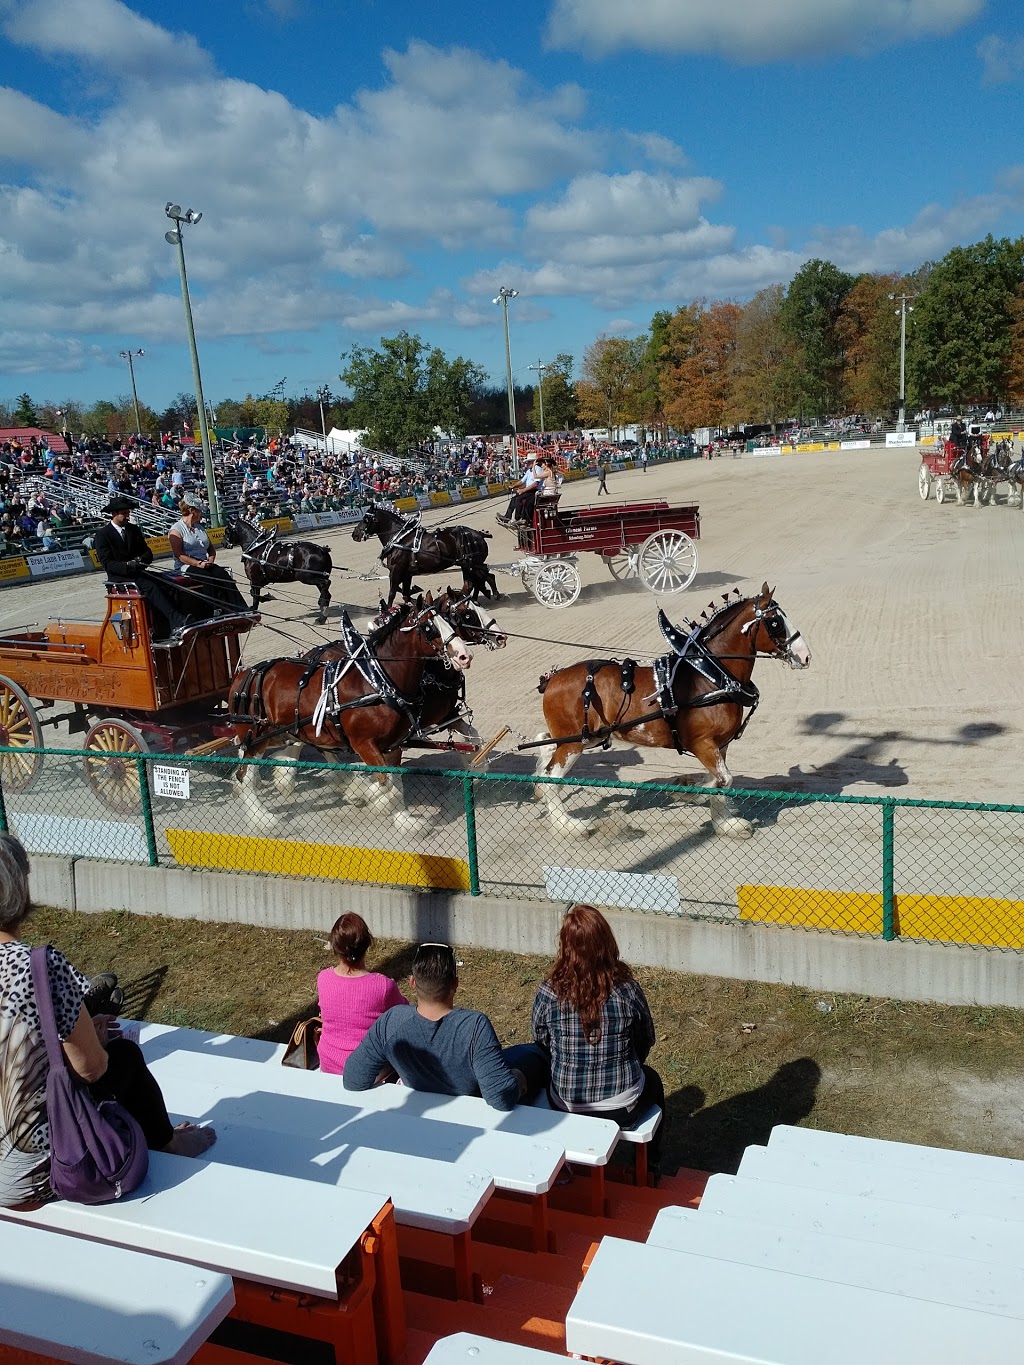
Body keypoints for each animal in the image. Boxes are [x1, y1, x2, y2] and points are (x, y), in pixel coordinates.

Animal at [352, 499, 499, 606]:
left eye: (365, 519)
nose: (355, 534)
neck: (399, 538)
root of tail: (479, 534)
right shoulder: (407, 574)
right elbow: (405, 593)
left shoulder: (396, 571)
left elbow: (392, 593)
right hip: (468, 564)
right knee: (477, 579)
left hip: (471, 563)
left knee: (483, 578)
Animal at [537, 581, 808, 835]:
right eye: (776, 622)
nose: (805, 655)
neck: (709, 677)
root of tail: (554, 678)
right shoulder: (701, 743)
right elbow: (722, 780)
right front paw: (685, 791)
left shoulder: (720, 744)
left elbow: (721, 781)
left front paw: (725, 824)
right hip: (574, 743)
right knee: (551, 777)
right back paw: (568, 826)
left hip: (588, 737)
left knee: (546, 747)